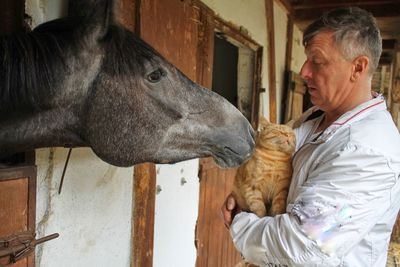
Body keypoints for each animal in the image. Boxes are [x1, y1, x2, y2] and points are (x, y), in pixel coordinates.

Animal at [231, 120, 296, 267]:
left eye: (290, 134)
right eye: (279, 131)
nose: (287, 136)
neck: (275, 159)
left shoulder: (281, 190)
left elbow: (277, 208)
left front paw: (274, 215)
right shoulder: (253, 187)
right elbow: (259, 209)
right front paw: (261, 218)